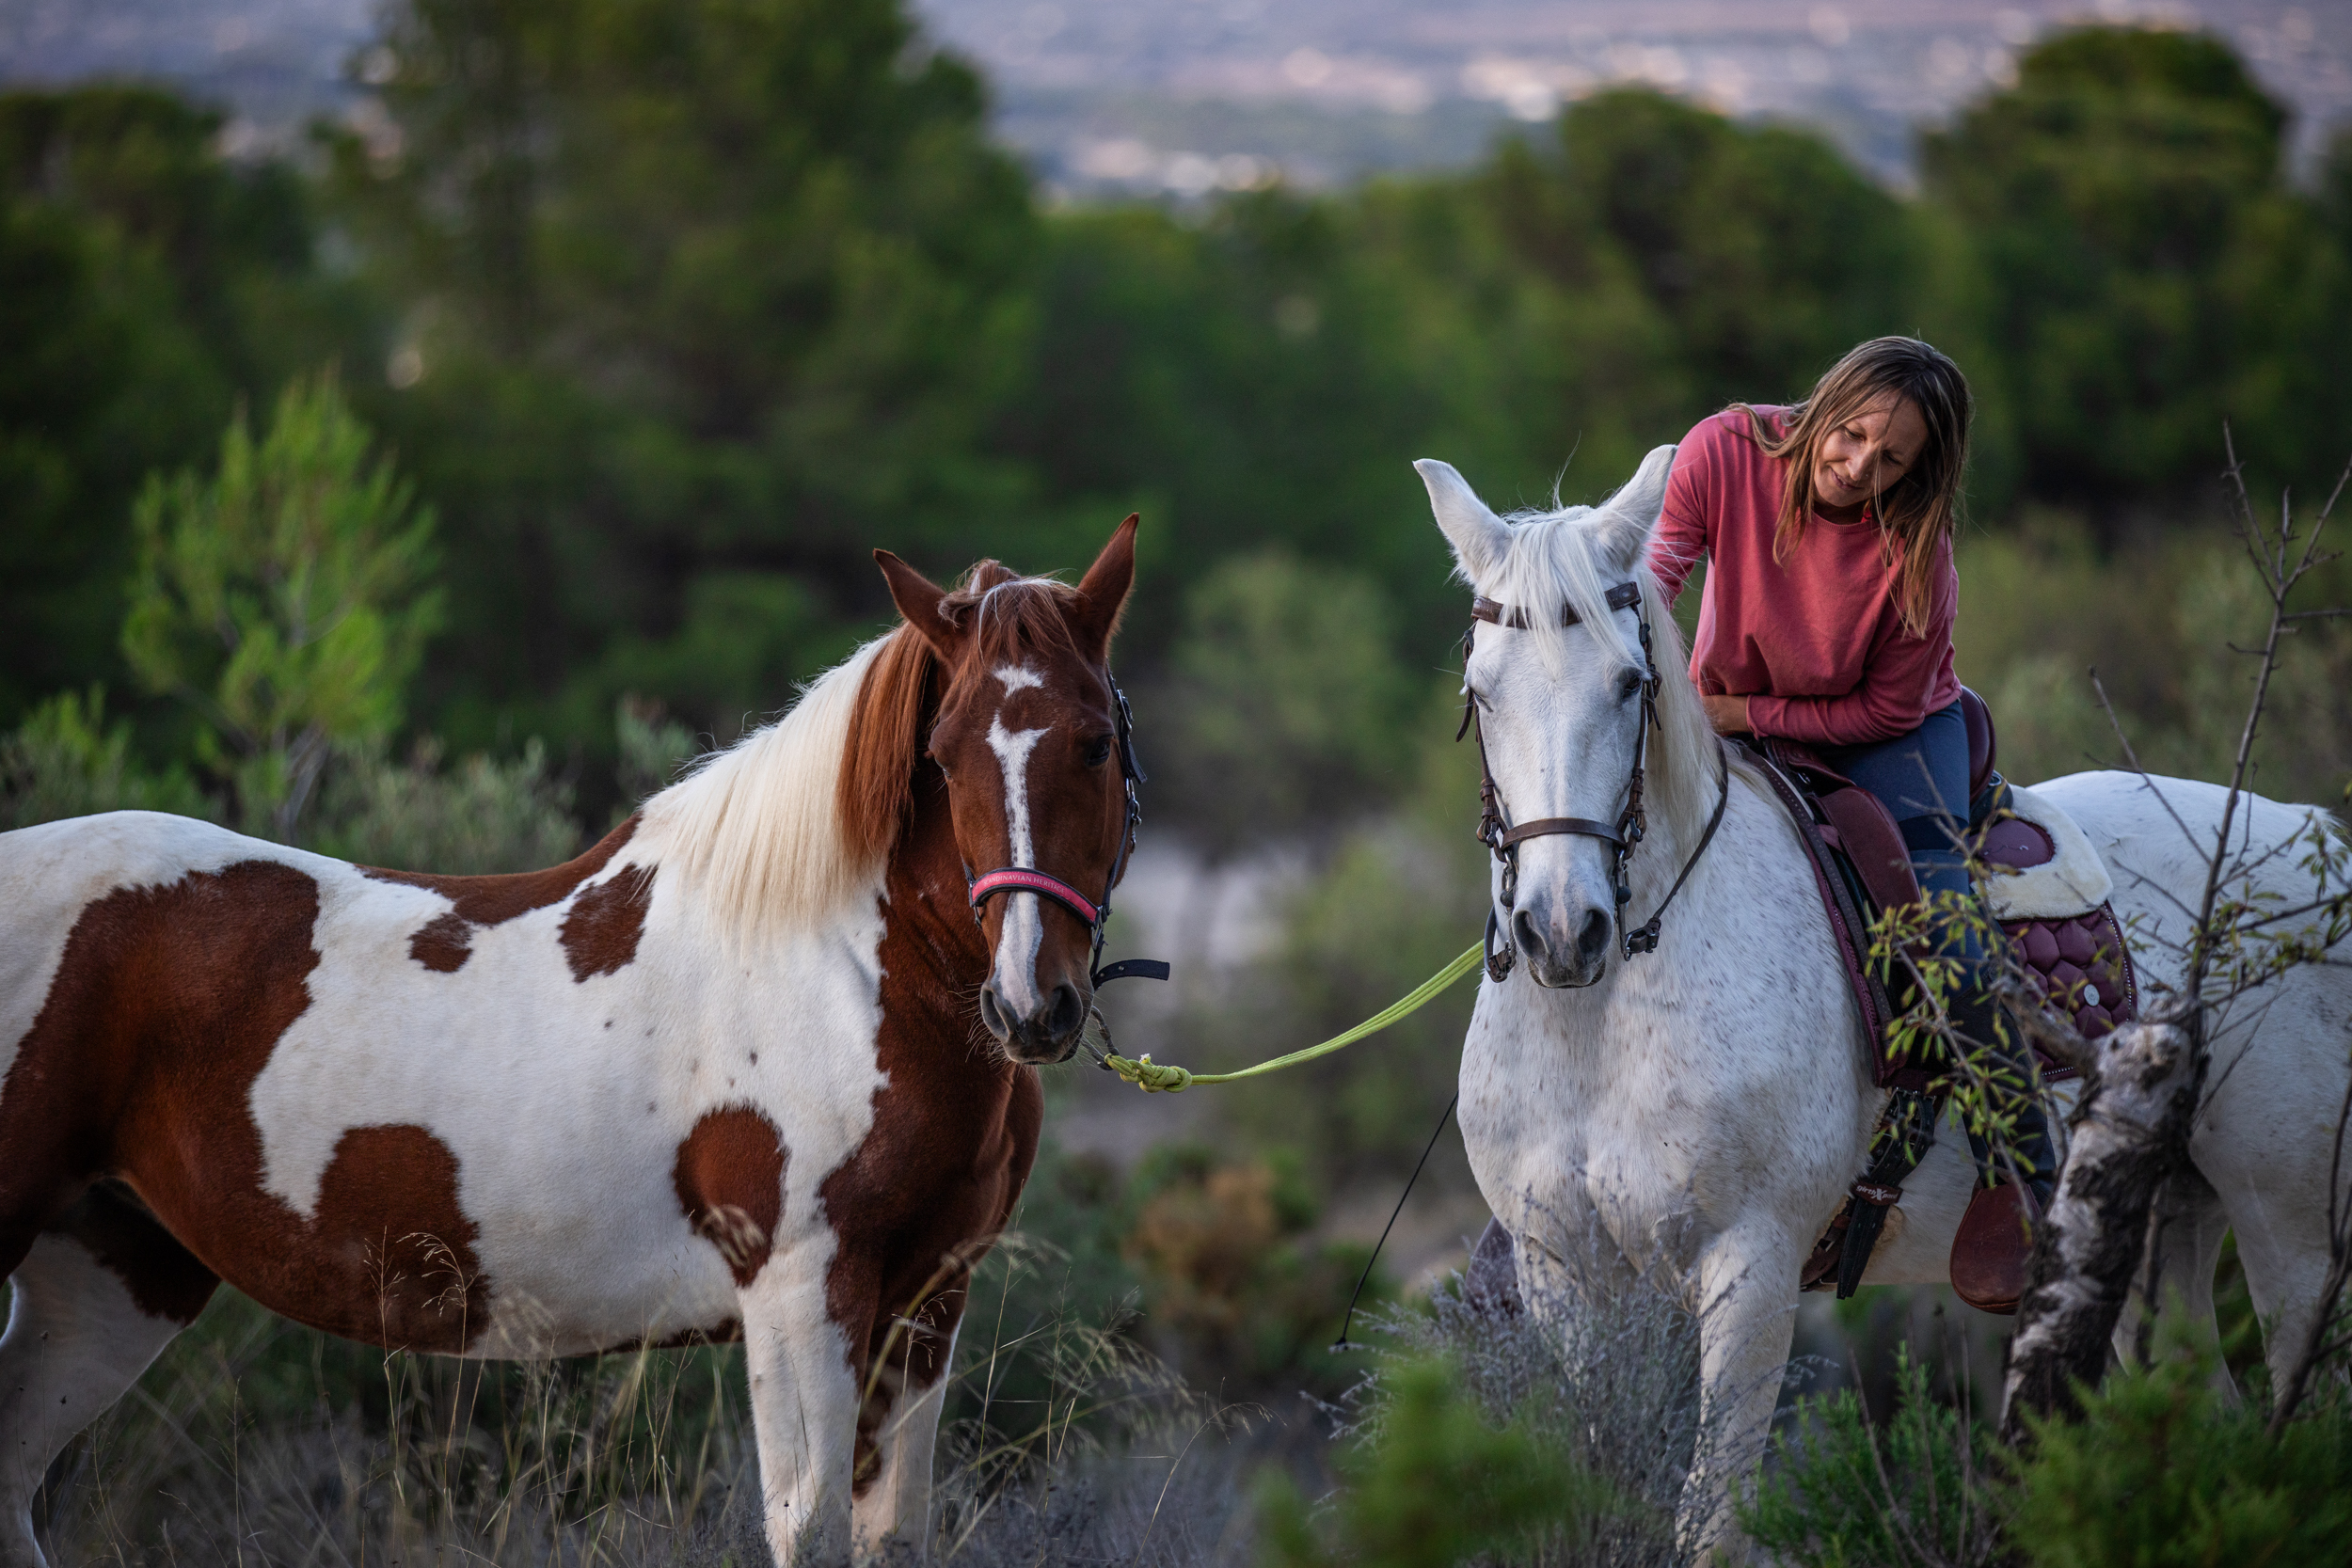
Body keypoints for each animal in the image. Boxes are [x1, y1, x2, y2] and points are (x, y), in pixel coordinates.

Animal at [0, 518, 1147, 1566]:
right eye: (943, 756)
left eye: (1095, 740)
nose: (1031, 1004)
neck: (840, 971)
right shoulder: (797, 1290)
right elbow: (806, 1526)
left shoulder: (926, 1303)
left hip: (118, 1267)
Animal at [1414, 448, 2352, 1556]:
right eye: (1480, 692)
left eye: (1630, 684)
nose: (1563, 930)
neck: (1600, 1029)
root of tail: (2315, 835)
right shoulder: (1569, 1280)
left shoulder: (1751, 1271)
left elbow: (1709, 1521)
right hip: (2155, 1226)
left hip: (2288, 1221)